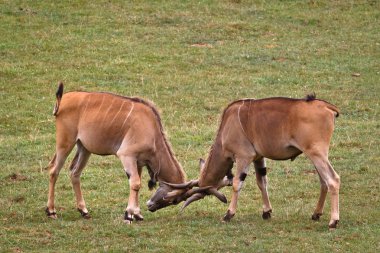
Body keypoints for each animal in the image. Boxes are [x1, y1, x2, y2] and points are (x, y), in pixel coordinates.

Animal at [45, 82, 189, 222]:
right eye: (174, 200)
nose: (151, 207)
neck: (152, 131)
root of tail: (62, 100)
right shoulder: (126, 155)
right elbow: (135, 184)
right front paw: (129, 215)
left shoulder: (138, 162)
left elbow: (137, 183)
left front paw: (137, 214)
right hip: (65, 143)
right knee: (54, 171)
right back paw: (51, 211)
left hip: (84, 148)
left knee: (74, 173)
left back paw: (84, 211)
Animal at [152, 95, 342, 229]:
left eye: (175, 200)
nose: (151, 206)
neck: (227, 126)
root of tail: (328, 107)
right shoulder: (259, 157)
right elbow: (262, 182)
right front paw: (266, 212)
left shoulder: (243, 157)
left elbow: (237, 183)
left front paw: (228, 214)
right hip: (316, 155)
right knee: (323, 181)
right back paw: (316, 214)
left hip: (316, 153)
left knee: (333, 179)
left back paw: (333, 221)